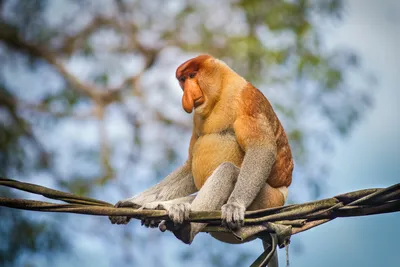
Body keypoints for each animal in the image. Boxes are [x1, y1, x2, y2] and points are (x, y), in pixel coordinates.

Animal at [109, 54, 294, 260]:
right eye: (183, 80)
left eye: (192, 75)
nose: (187, 94)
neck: (220, 92)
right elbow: (190, 166)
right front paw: (132, 202)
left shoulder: (247, 99)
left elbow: (261, 148)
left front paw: (234, 206)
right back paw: (161, 208)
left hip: (269, 200)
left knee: (229, 171)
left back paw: (184, 228)